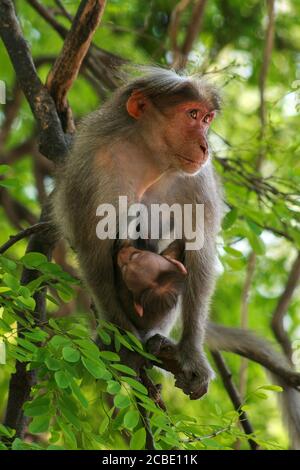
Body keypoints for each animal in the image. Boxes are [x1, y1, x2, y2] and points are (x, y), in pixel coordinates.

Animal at [51, 68, 221, 400]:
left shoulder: (198, 182)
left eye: (207, 119)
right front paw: (123, 339)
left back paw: (156, 338)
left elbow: (200, 255)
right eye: (192, 114)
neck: (150, 160)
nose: (205, 147)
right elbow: (93, 251)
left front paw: (192, 354)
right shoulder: (92, 168)